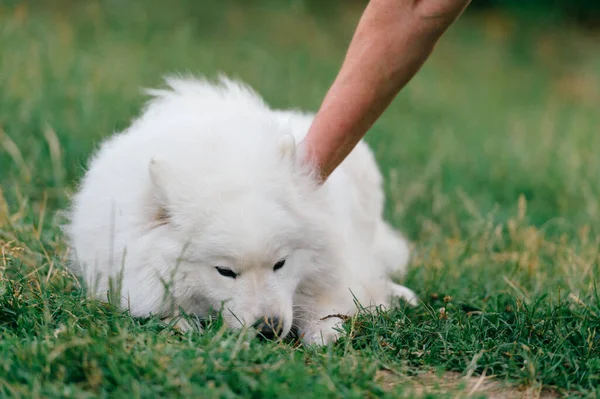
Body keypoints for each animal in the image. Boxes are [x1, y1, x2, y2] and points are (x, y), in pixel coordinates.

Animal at [68, 76, 418, 346]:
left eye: (280, 263)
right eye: (225, 271)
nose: (269, 329)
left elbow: (329, 298)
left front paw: (325, 331)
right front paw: (181, 324)